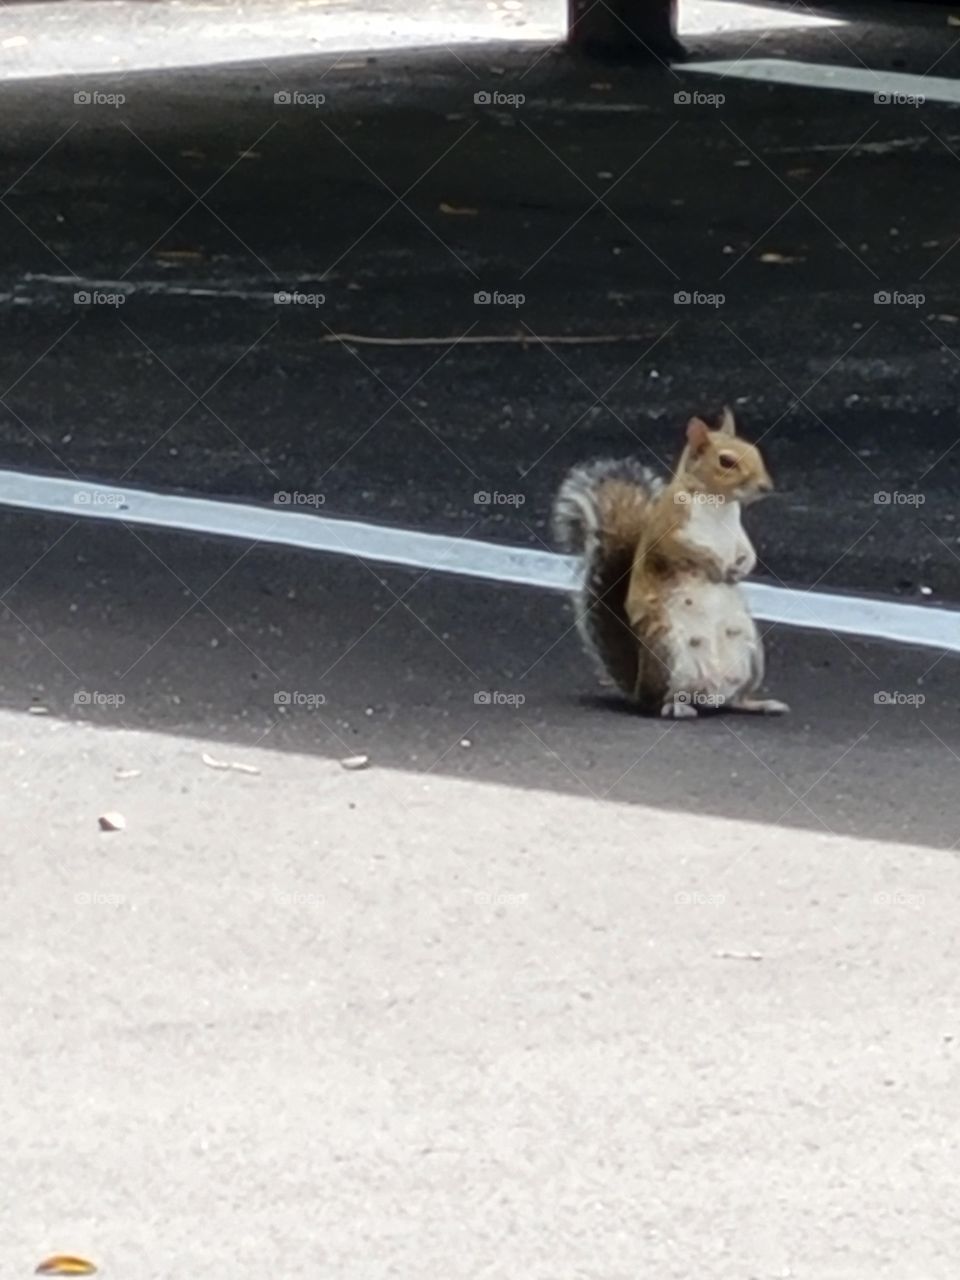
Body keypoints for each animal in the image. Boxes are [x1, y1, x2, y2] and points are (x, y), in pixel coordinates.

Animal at [551, 406, 789, 719]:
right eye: (726, 461)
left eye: (755, 450)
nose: (765, 486)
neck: (718, 504)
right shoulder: (668, 533)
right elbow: (687, 551)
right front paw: (715, 566)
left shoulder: (738, 534)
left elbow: (748, 552)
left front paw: (741, 569)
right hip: (666, 650)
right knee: (659, 701)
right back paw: (676, 707)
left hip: (752, 653)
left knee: (735, 699)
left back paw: (760, 704)